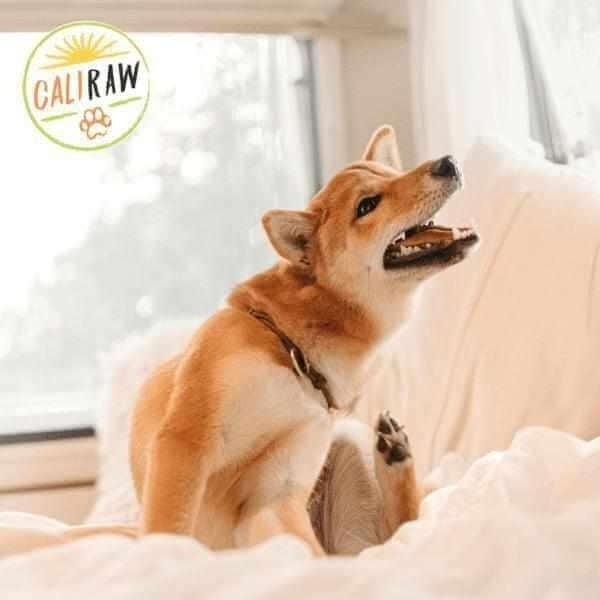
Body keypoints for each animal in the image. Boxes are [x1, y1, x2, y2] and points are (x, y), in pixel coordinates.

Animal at [128, 125, 479, 555]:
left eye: (390, 174)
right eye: (367, 205)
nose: (447, 163)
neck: (293, 351)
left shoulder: (277, 489)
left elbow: (317, 559)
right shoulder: (186, 441)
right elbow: (168, 527)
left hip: (347, 443)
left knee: (391, 538)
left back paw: (397, 456)